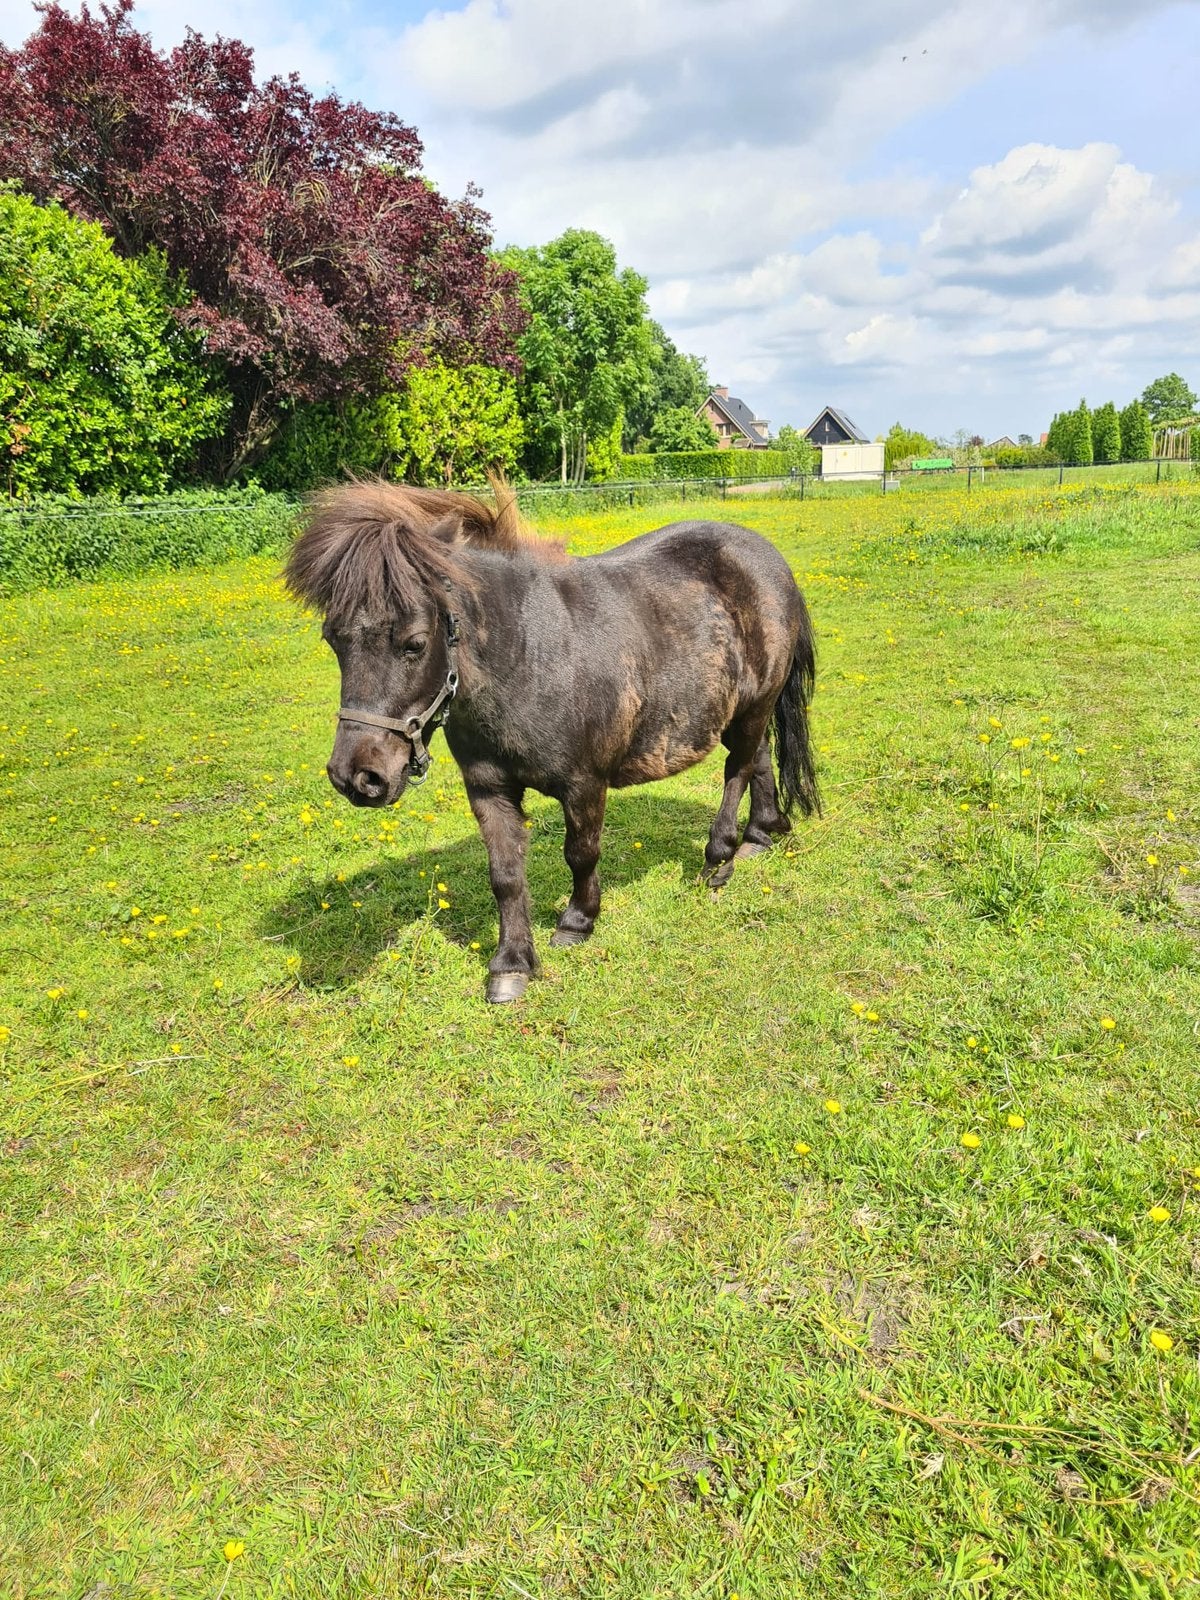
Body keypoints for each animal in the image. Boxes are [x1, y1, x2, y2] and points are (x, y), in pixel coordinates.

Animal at [285, 482, 818, 1003]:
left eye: (414, 642)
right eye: (333, 639)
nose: (358, 777)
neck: (528, 657)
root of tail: (768, 558)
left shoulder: (585, 784)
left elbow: (580, 852)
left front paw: (577, 921)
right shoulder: (488, 789)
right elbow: (504, 875)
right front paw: (511, 964)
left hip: (753, 707)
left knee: (737, 770)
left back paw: (719, 858)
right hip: (743, 711)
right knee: (758, 758)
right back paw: (760, 835)